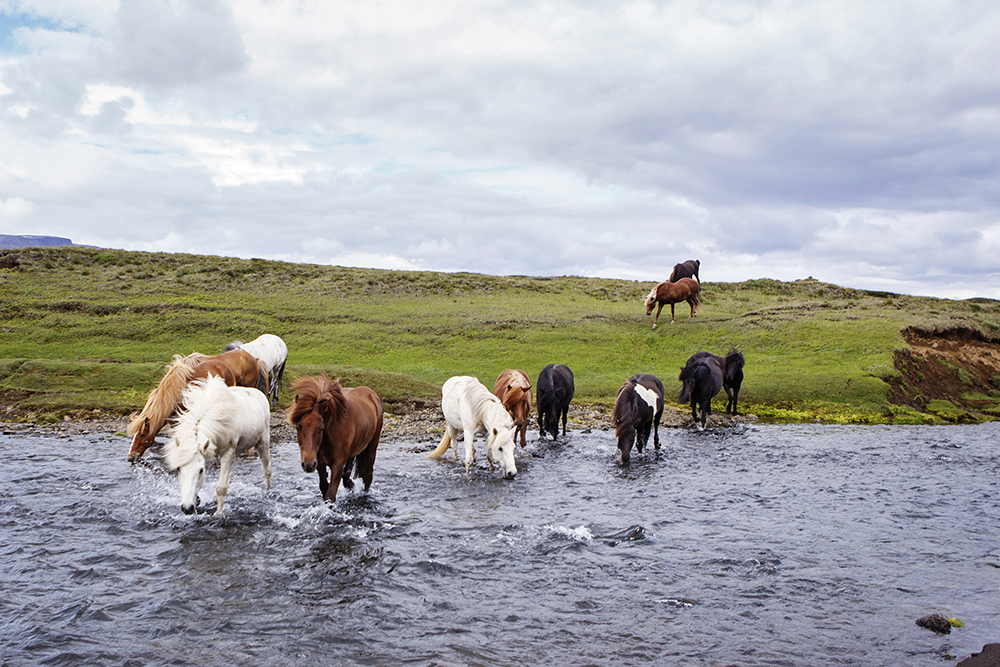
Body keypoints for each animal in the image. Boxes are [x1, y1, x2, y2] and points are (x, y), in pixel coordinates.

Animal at [163, 376, 272, 516]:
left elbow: (221, 488)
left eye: (201, 470)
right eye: (178, 469)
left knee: (266, 469)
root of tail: (260, 394)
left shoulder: (229, 450)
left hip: (263, 442)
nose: (187, 508)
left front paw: (219, 513)